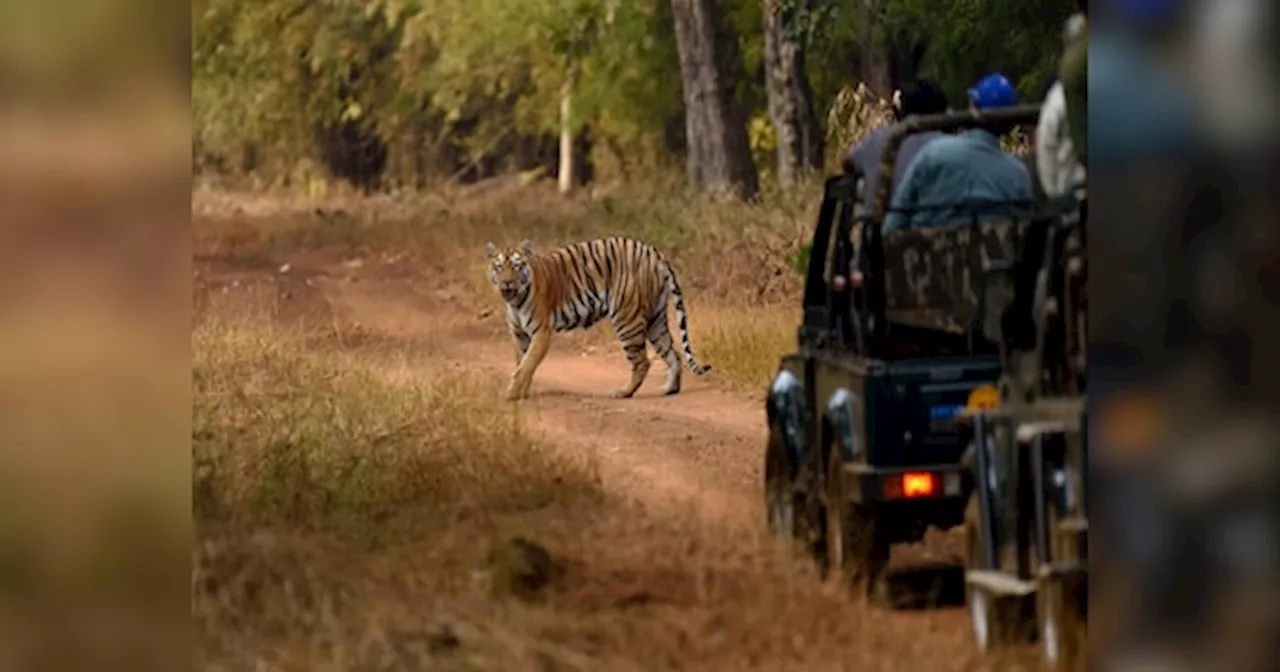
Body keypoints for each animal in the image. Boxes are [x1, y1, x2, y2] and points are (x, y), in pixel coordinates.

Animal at [486, 236, 716, 399]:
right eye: (499, 267)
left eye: (516, 266)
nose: (506, 283)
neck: (515, 301)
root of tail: (653, 252)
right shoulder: (520, 334)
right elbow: (523, 362)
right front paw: (522, 392)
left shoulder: (541, 332)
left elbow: (526, 365)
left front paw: (511, 394)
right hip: (655, 320)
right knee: (674, 354)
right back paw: (669, 389)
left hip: (626, 319)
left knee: (642, 362)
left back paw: (624, 392)